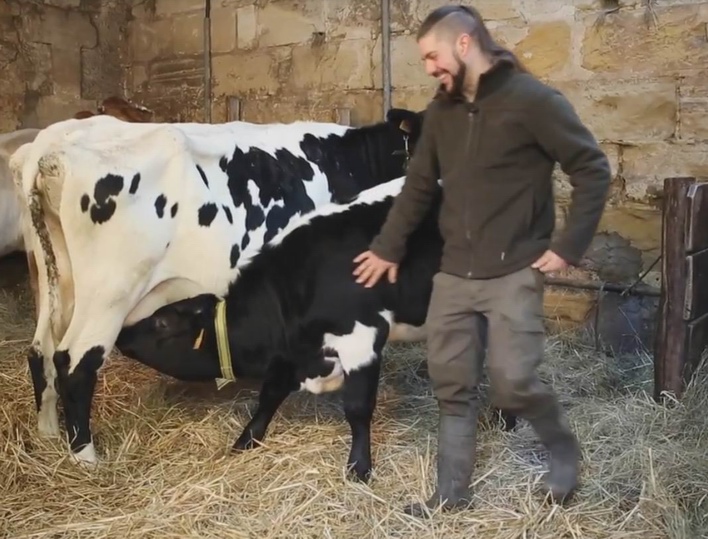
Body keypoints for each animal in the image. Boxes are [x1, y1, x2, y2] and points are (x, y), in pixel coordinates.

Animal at [12, 107, 426, 466]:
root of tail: (53, 146)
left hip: (53, 282)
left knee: (40, 352)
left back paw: (48, 434)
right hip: (109, 292)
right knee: (74, 363)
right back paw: (85, 457)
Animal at [113, 178, 516, 486]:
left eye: (162, 322)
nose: (121, 336)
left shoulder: (361, 338)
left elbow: (357, 408)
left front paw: (359, 467)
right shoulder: (291, 355)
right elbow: (269, 395)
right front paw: (247, 439)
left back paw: (506, 418)